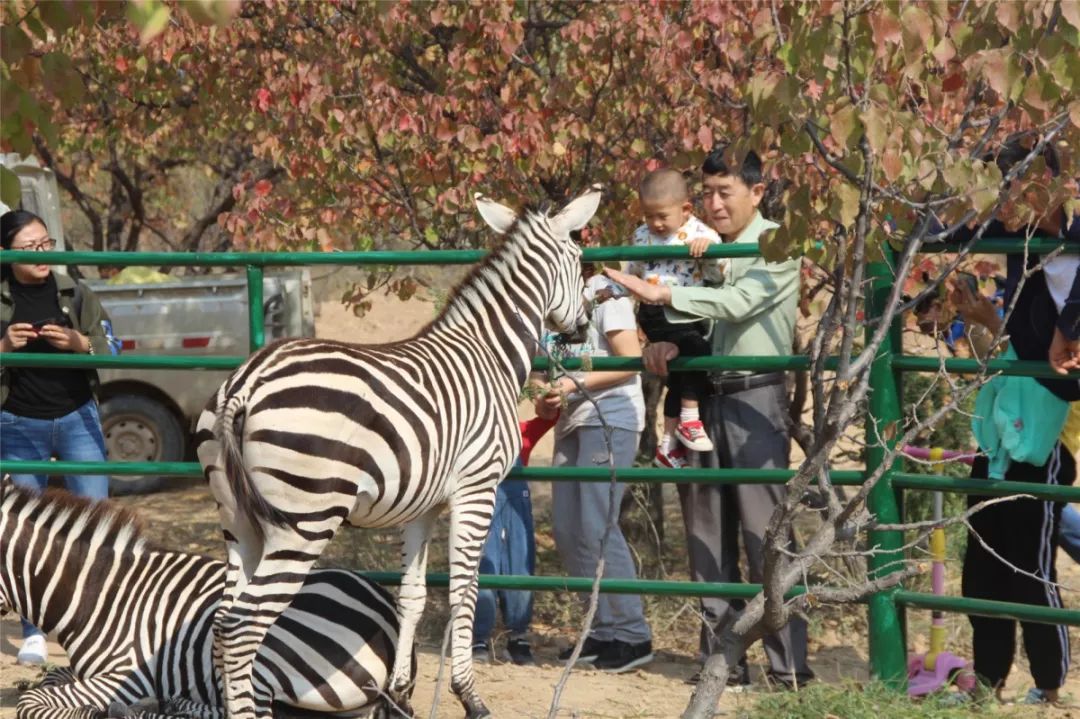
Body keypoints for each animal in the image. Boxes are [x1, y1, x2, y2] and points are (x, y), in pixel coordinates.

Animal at [1, 475, 406, 716]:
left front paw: (96, 709)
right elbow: (48, 678)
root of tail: (387, 610)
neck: (98, 594)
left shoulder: (126, 674)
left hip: (263, 645)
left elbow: (32, 702)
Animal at [194, 185, 600, 716]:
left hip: (239, 523)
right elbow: (464, 591)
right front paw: (469, 696)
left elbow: (413, 595)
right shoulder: (477, 489)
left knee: (223, 623)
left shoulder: (422, 506)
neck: (488, 352)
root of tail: (247, 381)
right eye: (579, 260)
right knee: (244, 627)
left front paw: (401, 691)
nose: (583, 328)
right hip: (304, 521)